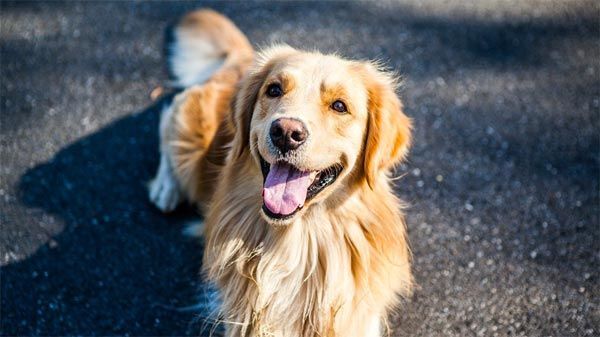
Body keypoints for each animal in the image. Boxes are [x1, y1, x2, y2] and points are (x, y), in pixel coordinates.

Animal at [148, 9, 414, 336]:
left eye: (339, 106)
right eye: (274, 89)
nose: (286, 132)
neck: (298, 240)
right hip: (189, 134)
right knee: (168, 117)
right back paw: (166, 187)